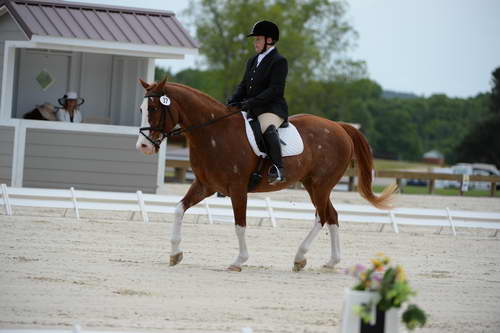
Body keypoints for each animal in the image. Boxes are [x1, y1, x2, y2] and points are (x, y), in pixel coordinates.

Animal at [135, 79, 396, 272]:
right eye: (141, 109)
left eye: (155, 109)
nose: (143, 147)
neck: (214, 133)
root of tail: (339, 126)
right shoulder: (205, 186)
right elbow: (178, 209)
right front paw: (175, 254)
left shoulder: (238, 189)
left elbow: (240, 224)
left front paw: (239, 261)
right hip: (313, 185)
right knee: (331, 215)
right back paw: (331, 262)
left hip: (320, 185)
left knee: (322, 217)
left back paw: (300, 257)